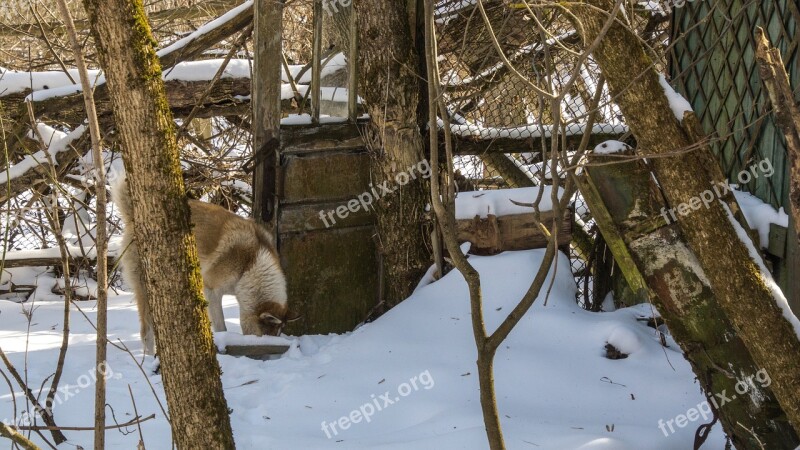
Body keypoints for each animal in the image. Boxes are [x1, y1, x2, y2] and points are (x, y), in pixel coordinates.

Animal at [111, 177, 290, 356]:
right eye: (266, 336)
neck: (251, 262)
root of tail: (134, 217)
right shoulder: (212, 291)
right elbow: (221, 327)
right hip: (145, 289)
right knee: (146, 332)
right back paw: (148, 357)